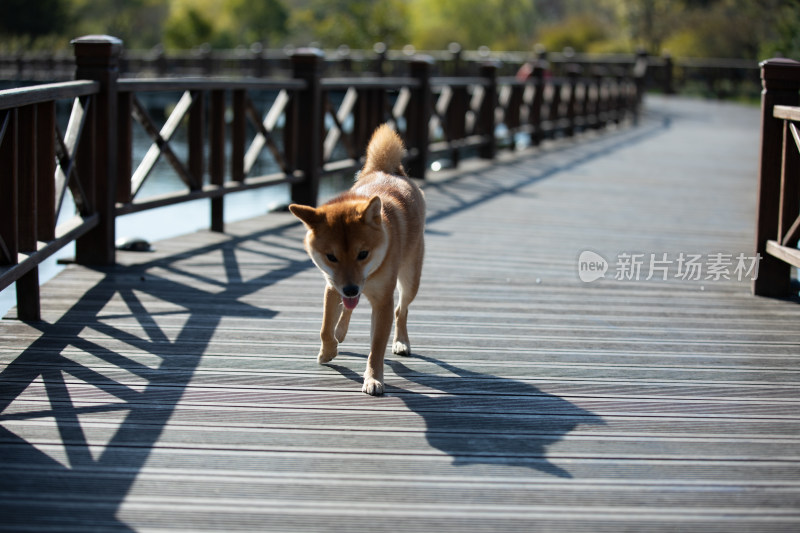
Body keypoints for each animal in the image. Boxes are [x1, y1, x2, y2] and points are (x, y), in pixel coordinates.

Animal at [288, 122, 424, 392]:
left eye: (363, 254)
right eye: (331, 257)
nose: (351, 288)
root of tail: (388, 171)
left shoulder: (382, 302)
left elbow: (376, 347)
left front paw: (373, 378)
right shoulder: (332, 286)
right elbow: (325, 327)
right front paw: (327, 351)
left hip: (410, 279)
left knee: (401, 310)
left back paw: (401, 341)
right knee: (348, 311)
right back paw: (341, 332)